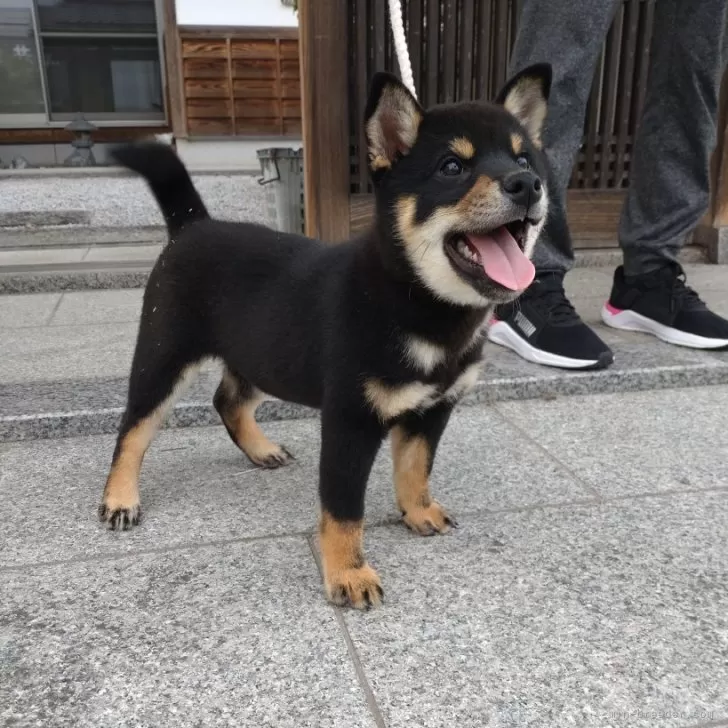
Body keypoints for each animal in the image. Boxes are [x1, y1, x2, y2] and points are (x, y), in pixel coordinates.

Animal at [98, 64, 552, 608]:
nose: (527, 184)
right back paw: (120, 498)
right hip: (163, 357)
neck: (419, 304)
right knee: (133, 429)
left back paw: (260, 449)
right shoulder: (350, 420)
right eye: (451, 167)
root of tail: (193, 227)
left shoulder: (434, 409)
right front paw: (348, 574)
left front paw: (417, 512)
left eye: (523, 158)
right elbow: (343, 509)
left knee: (227, 401)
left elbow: (415, 469)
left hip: (260, 354)